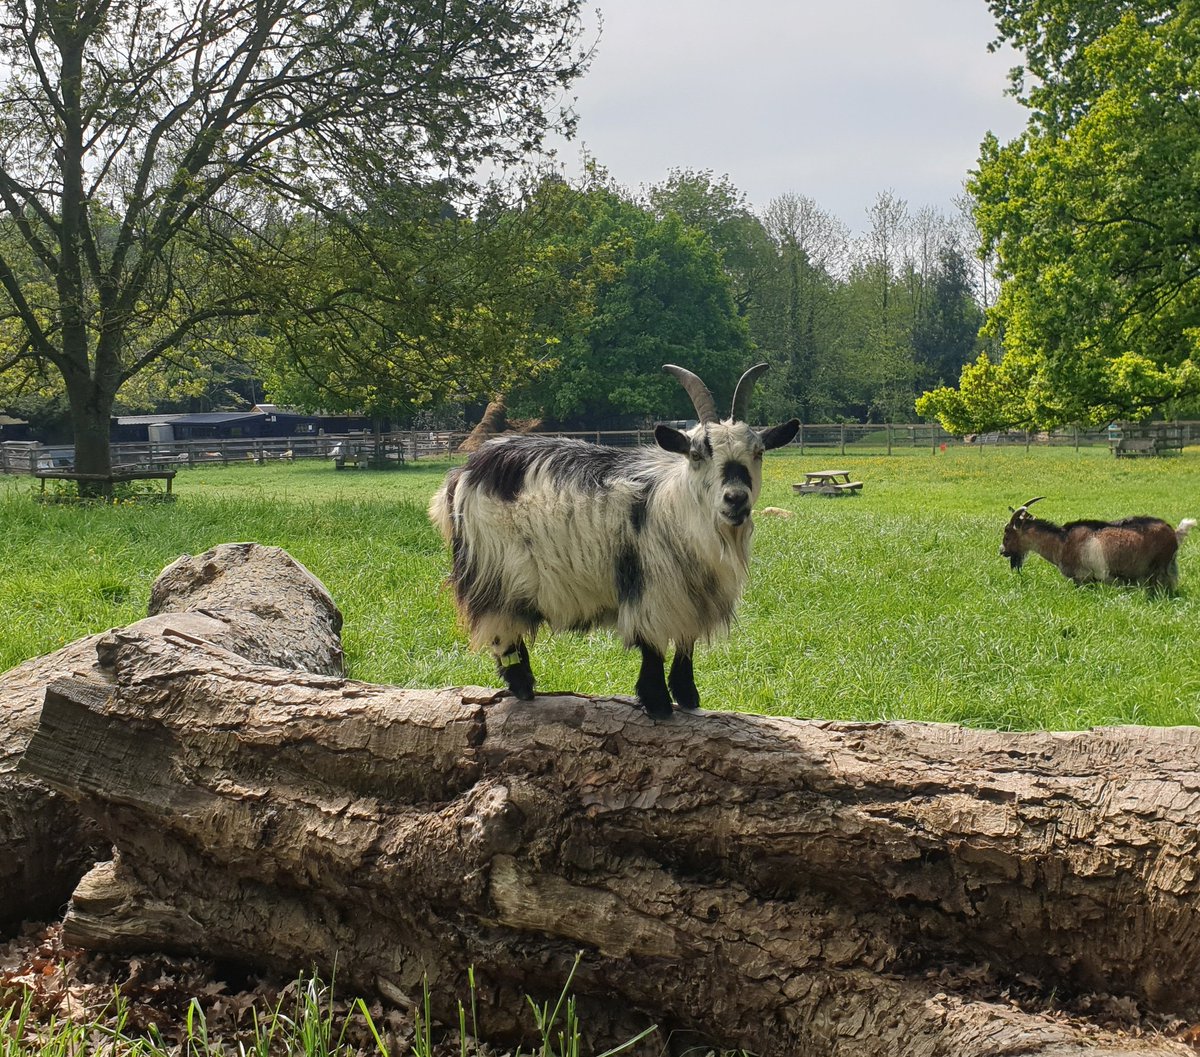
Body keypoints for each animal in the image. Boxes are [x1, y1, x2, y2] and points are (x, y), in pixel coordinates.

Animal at [428, 363, 800, 718]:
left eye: (759, 452)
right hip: (494, 570)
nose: (735, 499)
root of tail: (463, 473)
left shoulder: (690, 595)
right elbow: (653, 647)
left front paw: (688, 696)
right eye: (697, 455)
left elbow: (686, 644)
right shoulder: (652, 590)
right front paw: (658, 703)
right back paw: (523, 686)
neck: (677, 507)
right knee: (502, 630)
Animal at [1000, 496, 1196, 590]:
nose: (1001, 551)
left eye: (1007, 533)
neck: (1061, 541)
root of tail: (1174, 533)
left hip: (1159, 569)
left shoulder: (1083, 578)